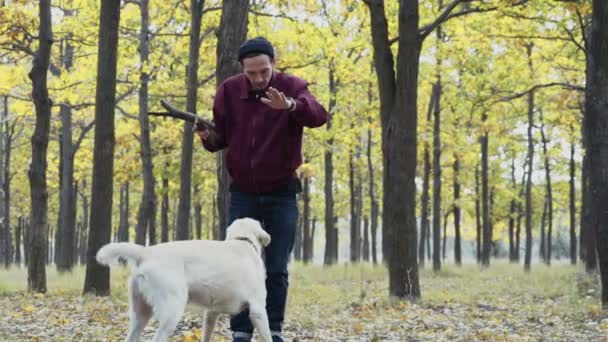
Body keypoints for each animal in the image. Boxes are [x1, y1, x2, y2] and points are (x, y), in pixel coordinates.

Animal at [96, 218, 272, 340]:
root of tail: (146, 253)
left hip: (140, 314)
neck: (243, 241)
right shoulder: (258, 310)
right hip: (171, 312)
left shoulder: (211, 313)